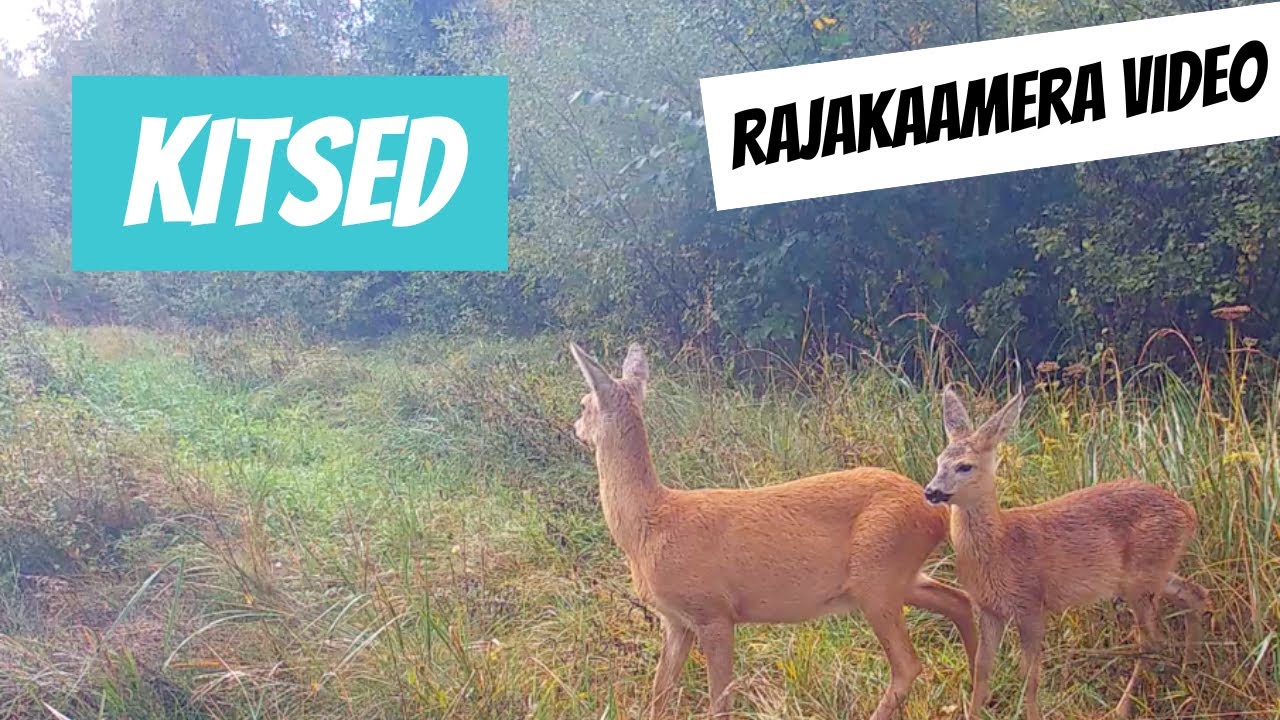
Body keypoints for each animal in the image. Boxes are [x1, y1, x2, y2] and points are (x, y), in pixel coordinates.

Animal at [568, 341, 978, 720]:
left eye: (584, 404)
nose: (576, 428)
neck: (649, 526)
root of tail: (937, 512)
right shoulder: (676, 621)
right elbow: (660, 692)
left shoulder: (713, 611)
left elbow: (720, 702)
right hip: (898, 577)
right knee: (959, 602)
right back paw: (979, 694)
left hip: (877, 577)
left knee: (908, 664)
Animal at [922, 386, 1210, 720]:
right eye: (939, 460)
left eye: (965, 466)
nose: (931, 491)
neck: (1001, 545)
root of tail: (1189, 512)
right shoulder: (989, 609)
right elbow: (982, 669)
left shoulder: (1031, 603)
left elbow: (1030, 675)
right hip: (1151, 572)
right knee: (1194, 593)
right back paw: (1189, 673)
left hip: (1141, 578)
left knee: (1151, 641)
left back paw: (1122, 708)